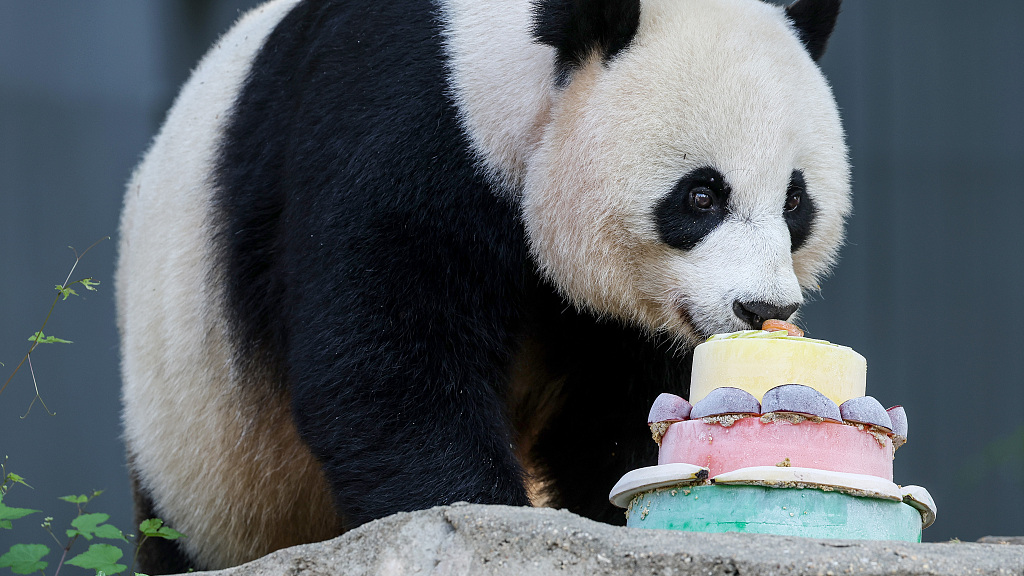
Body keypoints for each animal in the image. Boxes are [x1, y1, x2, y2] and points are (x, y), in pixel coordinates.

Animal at [117, 0, 847, 569]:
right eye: (701, 196)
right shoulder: (401, 125)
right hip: (196, 440)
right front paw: (477, 515)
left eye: (794, 202)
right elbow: (387, 362)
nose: (762, 307)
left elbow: (614, 414)